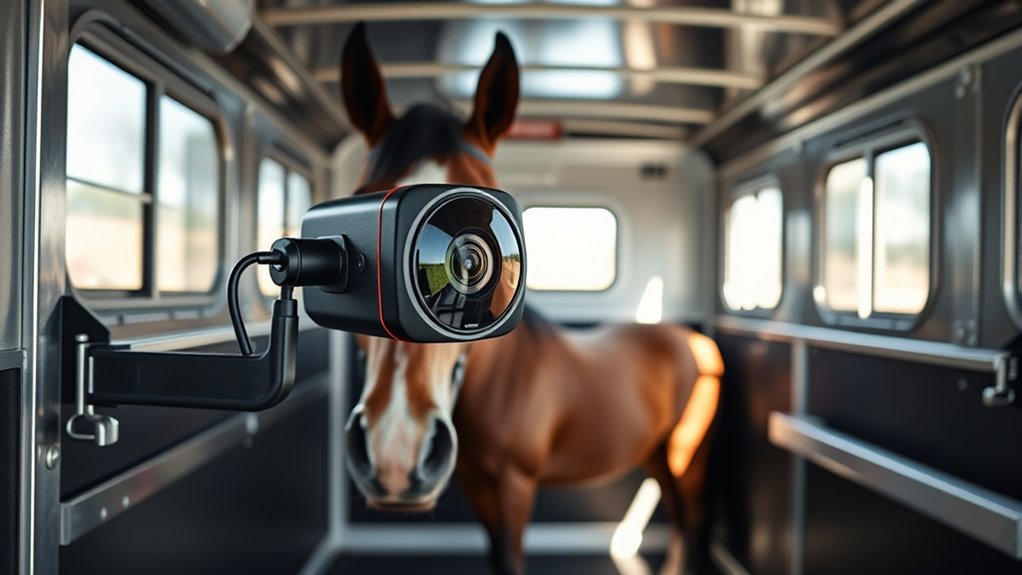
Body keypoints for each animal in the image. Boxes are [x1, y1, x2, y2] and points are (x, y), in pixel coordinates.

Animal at [338, 23, 725, 575]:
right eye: (361, 201)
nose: (395, 447)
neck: (502, 376)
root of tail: (694, 341)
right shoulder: (479, 487)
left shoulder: (514, 487)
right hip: (657, 457)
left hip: (686, 456)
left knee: (690, 520)